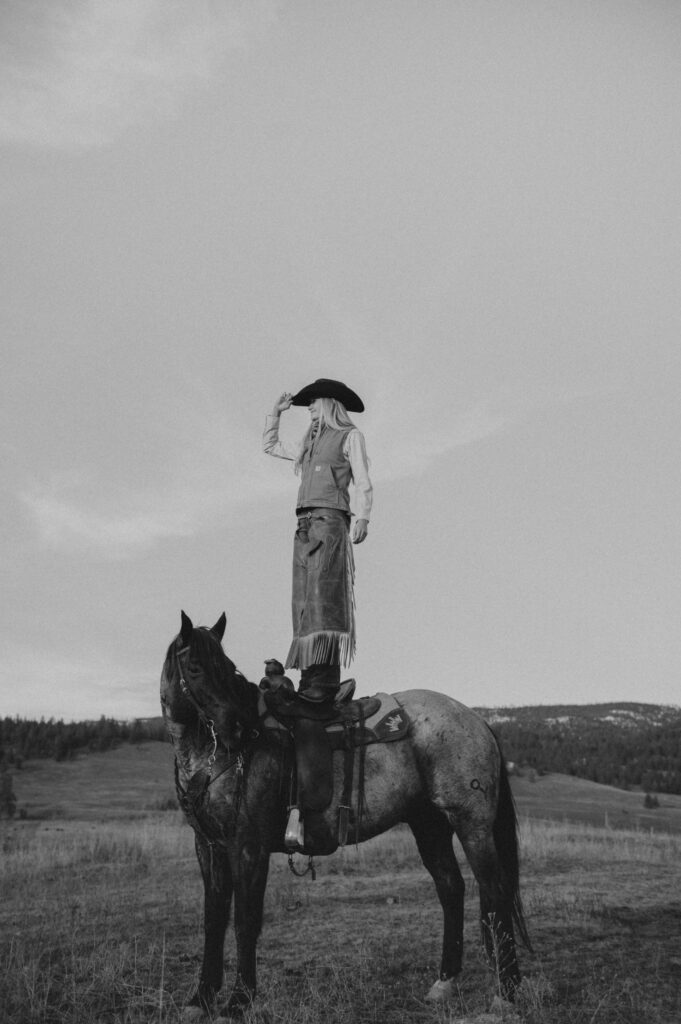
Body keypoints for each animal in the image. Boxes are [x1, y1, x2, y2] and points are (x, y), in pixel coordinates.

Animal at [160, 610, 532, 1019]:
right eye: (196, 668)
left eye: (227, 668)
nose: (240, 728)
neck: (215, 759)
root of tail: (477, 721)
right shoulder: (209, 846)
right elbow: (213, 920)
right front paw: (201, 998)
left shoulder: (248, 846)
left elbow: (245, 920)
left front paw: (239, 1000)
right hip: (429, 826)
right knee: (451, 888)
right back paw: (444, 983)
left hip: (472, 825)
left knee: (495, 891)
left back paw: (506, 993)